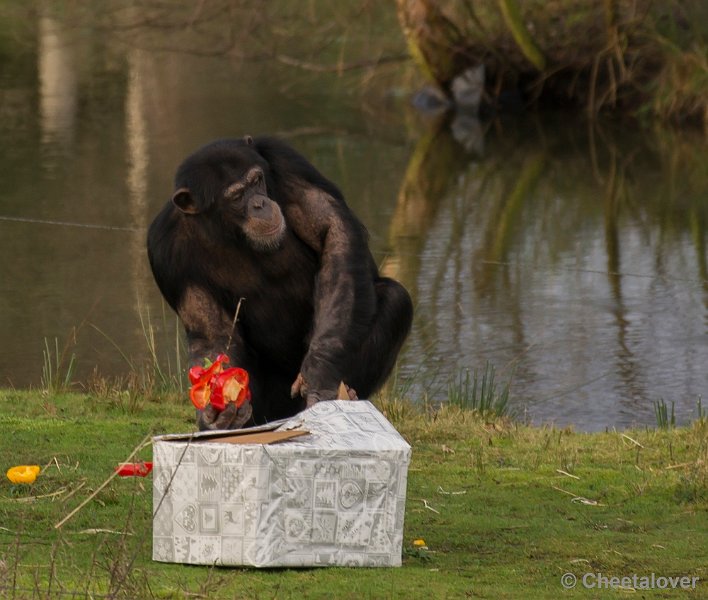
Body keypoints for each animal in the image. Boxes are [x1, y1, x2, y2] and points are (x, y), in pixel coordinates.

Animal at [147, 135, 412, 428]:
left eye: (257, 181)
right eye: (236, 196)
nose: (259, 203)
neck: (227, 229)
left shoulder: (287, 163)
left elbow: (332, 232)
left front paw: (319, 371)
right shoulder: (164, 249)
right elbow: (211, 332)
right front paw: (217, 413)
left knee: (396, 299)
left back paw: (348, 396)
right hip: (268, 406)